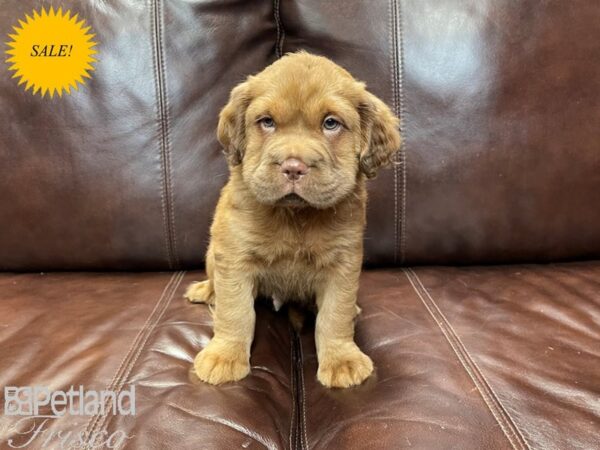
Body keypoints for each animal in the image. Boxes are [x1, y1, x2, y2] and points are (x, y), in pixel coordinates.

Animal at [185, 51, 400, 388]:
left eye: (330, 123)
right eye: (267, 122)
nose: (293, 167)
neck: (295, 216)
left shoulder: (343, 263)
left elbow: (334, 315)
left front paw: (342, 359)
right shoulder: (234, 257)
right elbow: (235, 312)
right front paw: (224, 355)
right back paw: (207, 290)